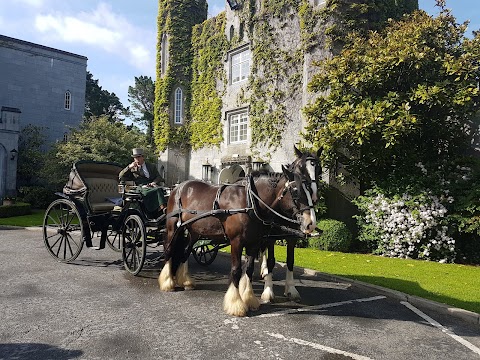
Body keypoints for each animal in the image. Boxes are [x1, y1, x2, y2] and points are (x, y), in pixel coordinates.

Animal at [156, 148, 318, 316]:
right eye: (296, 191)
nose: (311, 223)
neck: (250, 201)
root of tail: (178, 187)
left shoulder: (254, 242)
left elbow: (249, 269)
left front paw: (249, 298)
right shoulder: (237, 241)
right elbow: (236, 270)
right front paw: (236, 304)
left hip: (194, 232)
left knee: (186, 251)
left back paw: (185, 281)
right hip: (173, 227)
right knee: (169, 249)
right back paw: (168, 282)